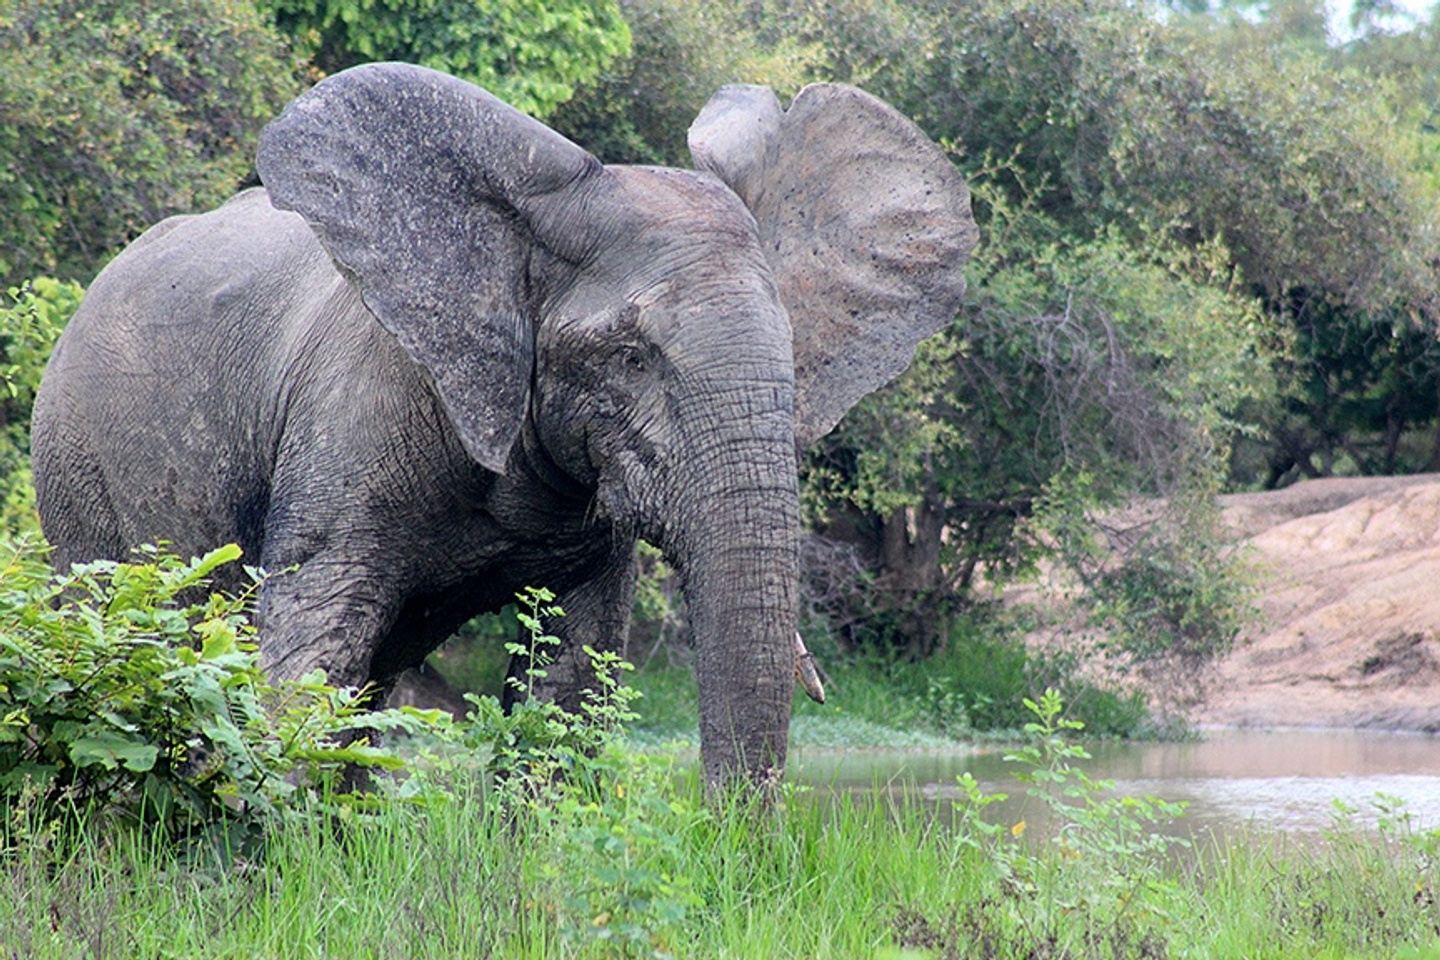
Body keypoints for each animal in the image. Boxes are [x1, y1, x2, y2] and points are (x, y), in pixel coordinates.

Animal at [31, 62, 977, 788]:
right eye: (630, 357)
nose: (736, 839)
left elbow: (575, 672)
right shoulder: (356, 412)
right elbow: (313, 645)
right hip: (74, 462)